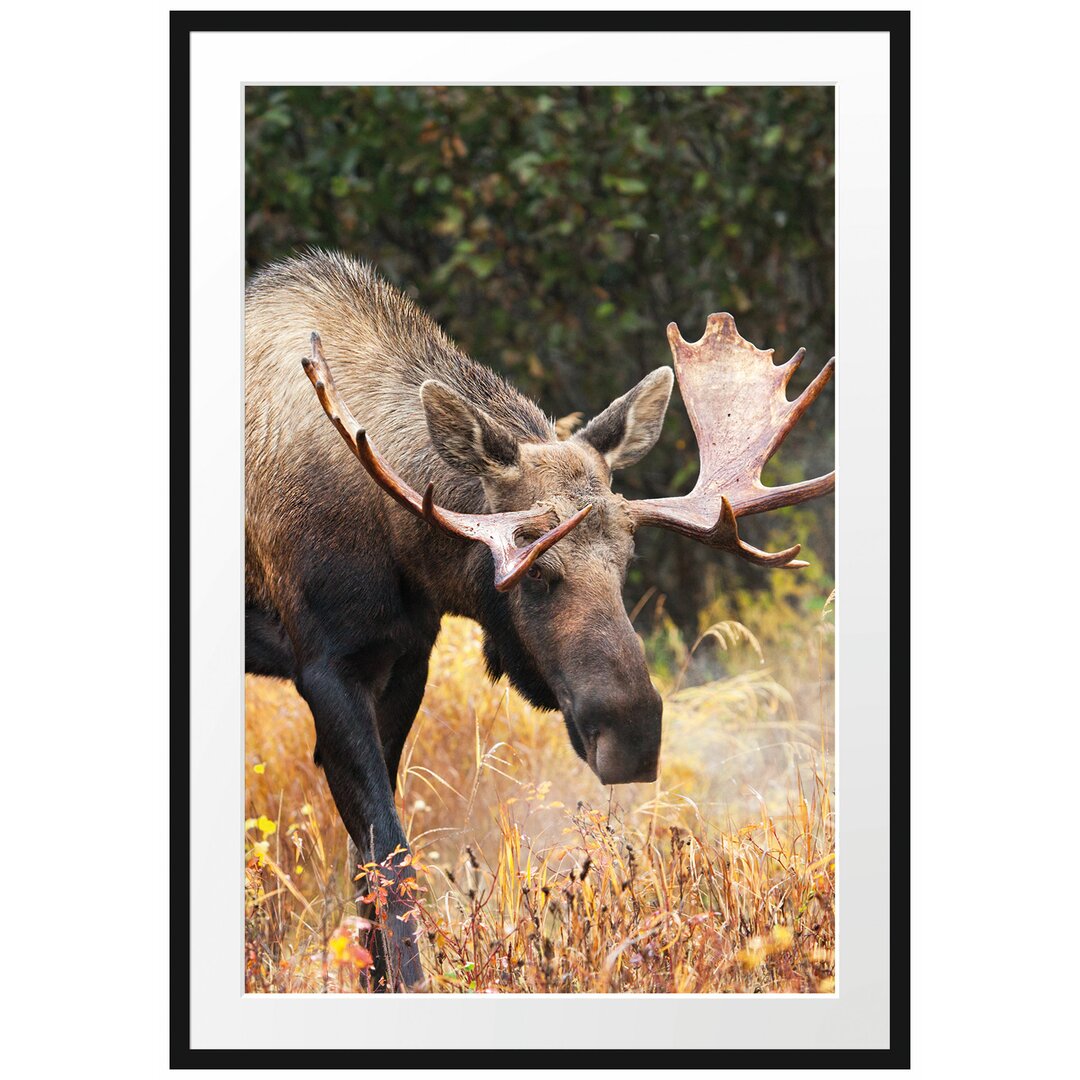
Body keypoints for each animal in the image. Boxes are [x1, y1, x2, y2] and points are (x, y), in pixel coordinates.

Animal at [245, 250, 833, 989]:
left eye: (627, 560)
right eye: (536, 570)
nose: (634, 735)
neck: (400, 544)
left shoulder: (406, 657)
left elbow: (366, 865)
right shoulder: (323, 663)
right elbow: (390, 853)